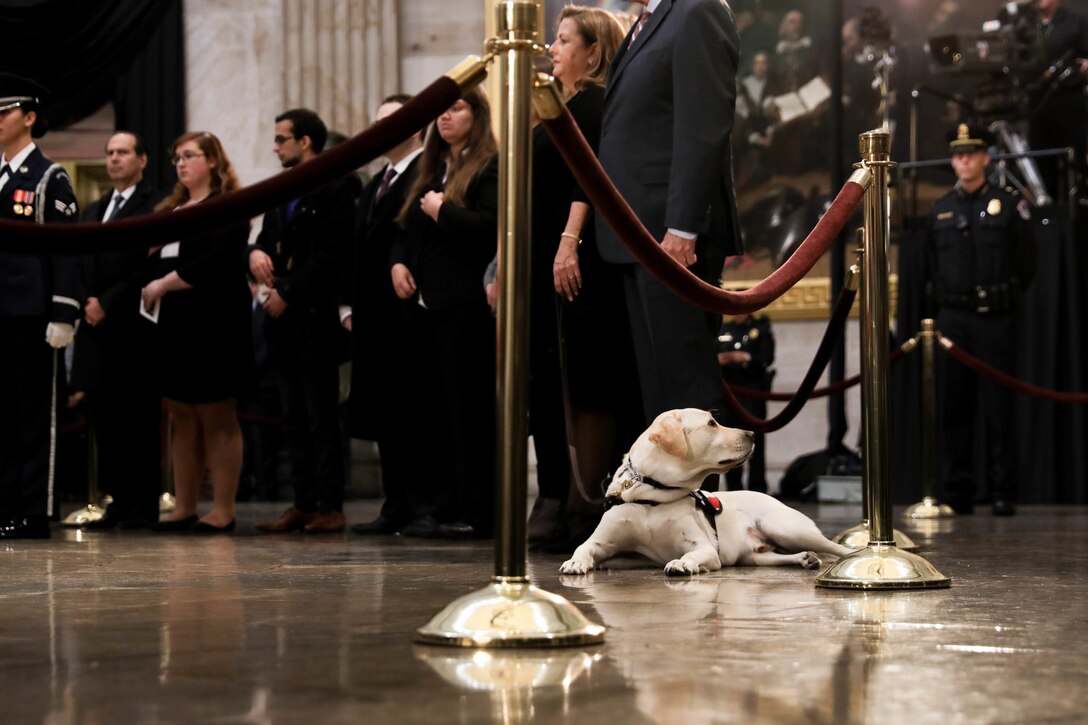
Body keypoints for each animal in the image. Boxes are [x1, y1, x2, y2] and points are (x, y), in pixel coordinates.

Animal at [561, 409, 857, 574]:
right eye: (712, 423)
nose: (752, 433)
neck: (652, 495)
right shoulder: (606, 545)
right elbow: (583, 547)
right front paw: (575, 562)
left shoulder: (704, 546)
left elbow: (692, 554)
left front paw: (682, 563)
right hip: (755, 556)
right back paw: (805, 559)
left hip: (787, 529)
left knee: (836, 547)